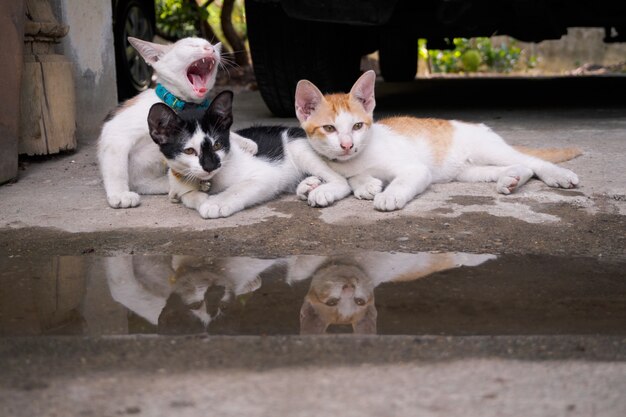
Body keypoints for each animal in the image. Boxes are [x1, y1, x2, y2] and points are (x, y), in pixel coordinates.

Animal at [147, 89, 352, 216]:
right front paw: (198, 197)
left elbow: (239, 188)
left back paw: (323, 190)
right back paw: (308, 185)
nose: (210, 166)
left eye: (217, 145)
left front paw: (215, 203)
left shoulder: (266, 174)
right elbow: (187, 195)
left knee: (341, 181)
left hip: (298, 146)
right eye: (189, 151)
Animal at [294, 70, 576, 211]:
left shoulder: (416, 168)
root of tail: (479, 125)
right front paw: (359, 184)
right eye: (329, 128)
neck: (358, 158)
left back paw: (557, 175)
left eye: (357, 126)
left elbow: (402, 180)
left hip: (488, 150)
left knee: (532, 161)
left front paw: (388, 195)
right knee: (519, 166)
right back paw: (511, 179)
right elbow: (350, 177)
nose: (347, 145)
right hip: (468, 171)